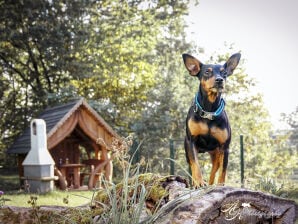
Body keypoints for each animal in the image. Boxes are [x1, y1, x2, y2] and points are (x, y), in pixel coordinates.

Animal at [182, 53, 242, 187]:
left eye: (224, 72)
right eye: (207, 72)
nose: (219, 80)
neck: (209, 111)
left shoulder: (225, 147)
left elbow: (223, 171)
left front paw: (220, 185)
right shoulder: (191, 141)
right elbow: (196, 165)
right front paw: (199, 182)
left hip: (216, 154)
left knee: (214, 171)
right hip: (188, 149)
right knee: (192, 165)